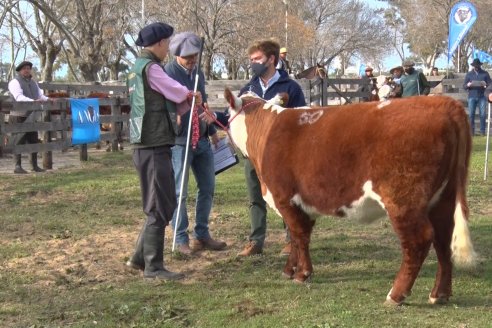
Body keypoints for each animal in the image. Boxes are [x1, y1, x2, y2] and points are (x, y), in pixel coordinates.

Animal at [226, 89, 476, 304]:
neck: (266, 132)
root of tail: (445, 103)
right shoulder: (302, 204)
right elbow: (298, 238)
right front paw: (290, 270)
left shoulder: (284, 198)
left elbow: (298, 236)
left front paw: (302, 274)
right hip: (443, 198)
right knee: (443, 238)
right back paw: (439, 294)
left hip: (403, 200)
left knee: (419, 240)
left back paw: (396, 295)